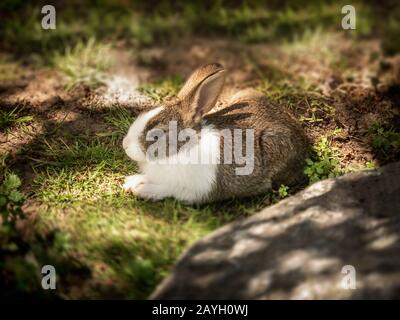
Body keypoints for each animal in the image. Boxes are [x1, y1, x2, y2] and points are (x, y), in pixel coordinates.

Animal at [122, 62, 310, 204]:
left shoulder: (193, 190)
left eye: (157, 135)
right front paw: (132, 181)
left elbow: (169, 189)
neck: (182, 150)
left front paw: (142, 189)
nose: (125, 145)